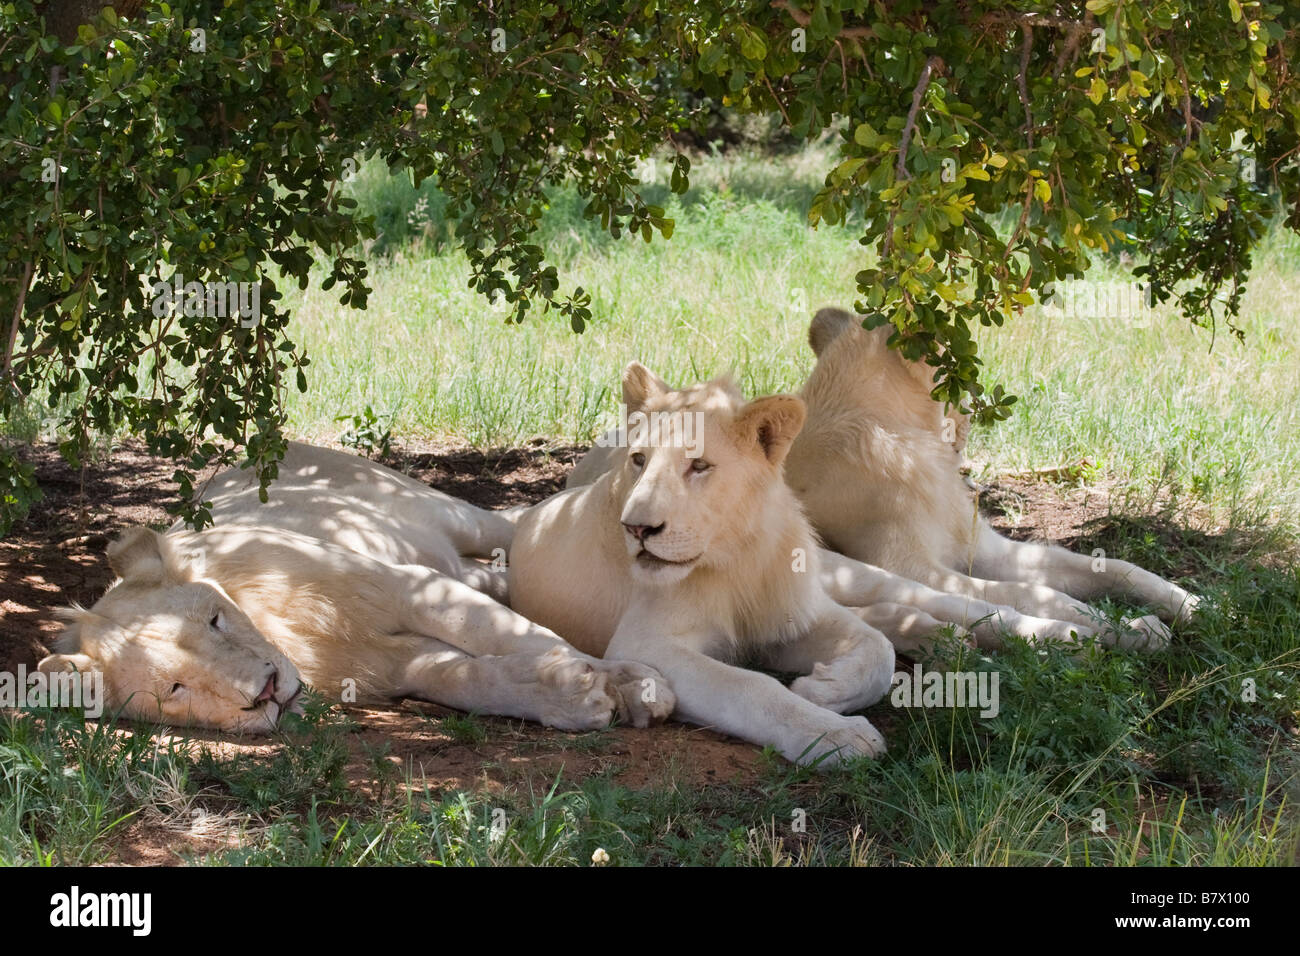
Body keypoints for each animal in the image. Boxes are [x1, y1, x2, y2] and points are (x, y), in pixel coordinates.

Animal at [40, 442, 670, 733]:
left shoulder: (407, 588)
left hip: (451, 517)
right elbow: (469, 678)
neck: (282, 633)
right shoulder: (390, 662)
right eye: (175, 688)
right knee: (496, 579)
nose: (266, 692)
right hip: (452, 559)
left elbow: (517, 635)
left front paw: (635, 685)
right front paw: (570, 696)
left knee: (518, 529)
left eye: (214, 622)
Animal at [504, 361, 894, 764]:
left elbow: (880, 646)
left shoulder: (794, 609)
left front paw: (821, 688)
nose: (637, 528)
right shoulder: (640, 642)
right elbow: (749, 685)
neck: (735, 559)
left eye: (700, 465)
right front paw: (834, 734)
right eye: (639, 460)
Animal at [774, 306, 1201, 650]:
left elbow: (1114, 567)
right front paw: (1125, 626)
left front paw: (1195, 605)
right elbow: (1029, 592)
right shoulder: (906, 565)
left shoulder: (985, 549)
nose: (968, 425)